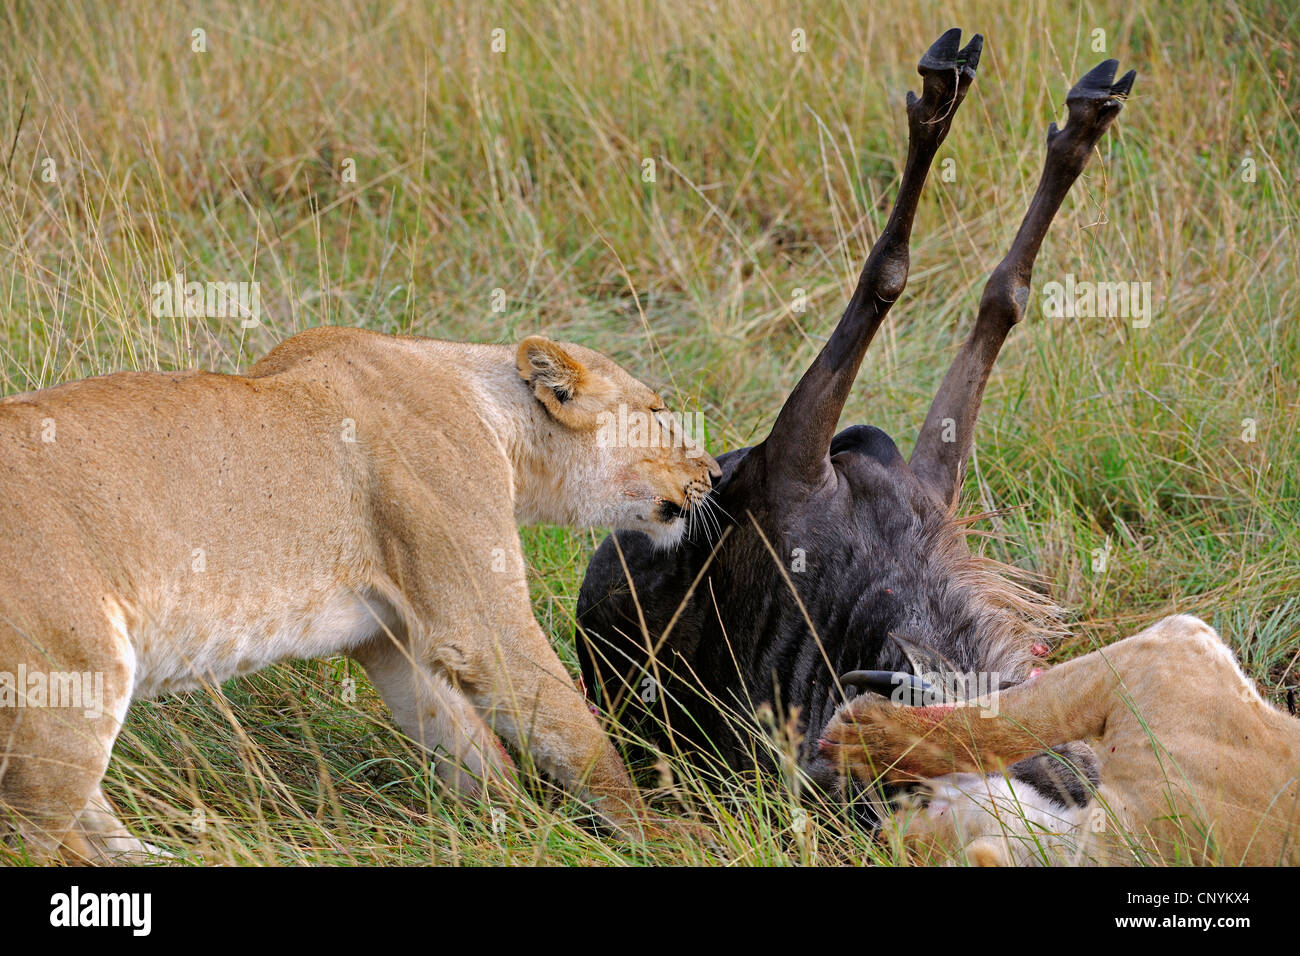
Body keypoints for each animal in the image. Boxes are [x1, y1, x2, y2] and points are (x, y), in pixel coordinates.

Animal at [0, 325, 720, 862]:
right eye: (659, 413)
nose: (713, 472)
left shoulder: (389, 639)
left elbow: (467, 748)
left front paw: (518, 831)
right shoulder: (478, 621)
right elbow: (578, 737)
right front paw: (657, 834)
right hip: (75, 670)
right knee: (34, 835)